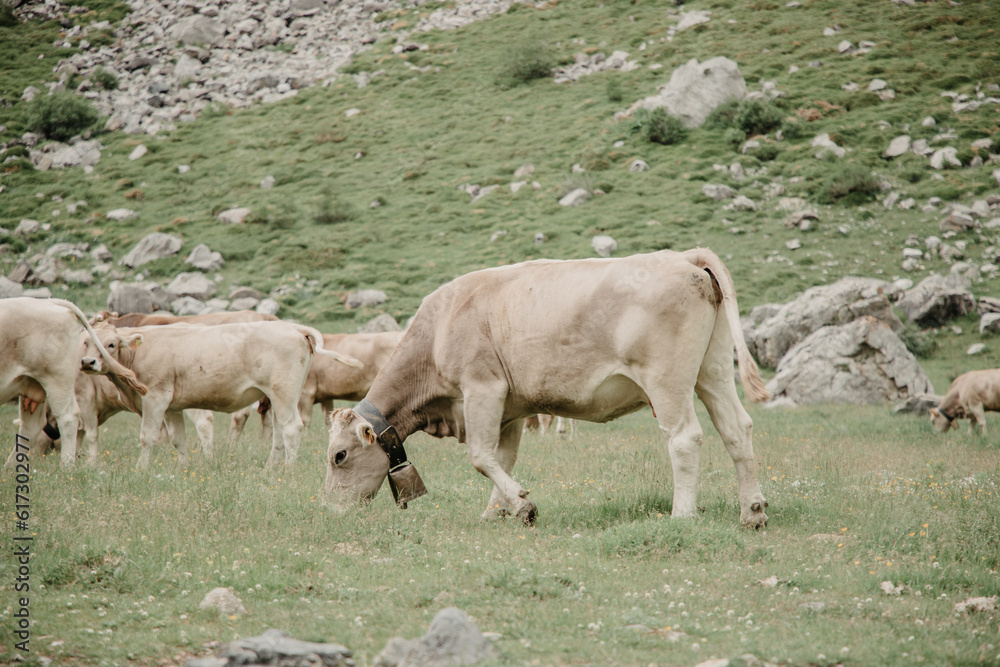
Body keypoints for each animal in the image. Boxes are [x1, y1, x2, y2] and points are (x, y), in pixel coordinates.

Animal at [0, 300, 145, 468]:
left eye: (112, 344)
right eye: (86, 343)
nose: (32, 455)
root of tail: (49, 301)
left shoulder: (86, 400)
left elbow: (90, 434)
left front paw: (90, 463)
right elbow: (81, 435)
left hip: (55, 382)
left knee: (65, 418)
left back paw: (65, 466)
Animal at [81, 320, 364, 468]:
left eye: (110, 344)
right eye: (85, 342)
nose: (87, 362)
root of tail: (291, 326)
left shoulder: (155, 397)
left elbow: (146, 437)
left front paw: (141, 469)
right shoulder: (172, 406)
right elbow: (178, 439)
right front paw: (184, 468)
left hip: (285, 393)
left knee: (292, 428)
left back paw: (287, 468)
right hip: (276, 397)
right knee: (279, 433)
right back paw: (270, 469)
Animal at [230, 330, 406, 444]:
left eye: (263, 414)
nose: (263, 440)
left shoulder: (307, 393)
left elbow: (306, 419)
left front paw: (306, 439)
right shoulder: (326, 397)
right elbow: (328, 419)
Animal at [324, 248, 768, 528]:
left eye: (339, 456)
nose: (331, 511)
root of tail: (684, 255)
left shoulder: (482, 388)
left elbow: (481, 456)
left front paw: (523, 506)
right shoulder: (509, 408)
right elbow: (503, 458)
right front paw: (497, 512)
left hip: (667, 379)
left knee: (684, 438)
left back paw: (683, 515)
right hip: (713, 371)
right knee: (737, 429)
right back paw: (752, 511)